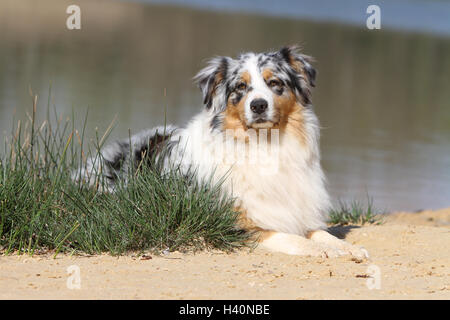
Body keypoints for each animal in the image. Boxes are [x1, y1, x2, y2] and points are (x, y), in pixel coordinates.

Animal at [74, 45, 370, 260]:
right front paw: (324, 251)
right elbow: (290, 237)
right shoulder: (236, 224)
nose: (258, 105)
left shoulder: (297, 211)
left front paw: (349, 248)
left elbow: (321, 233)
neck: (265, 145)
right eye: (241, 86)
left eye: (275, 82)